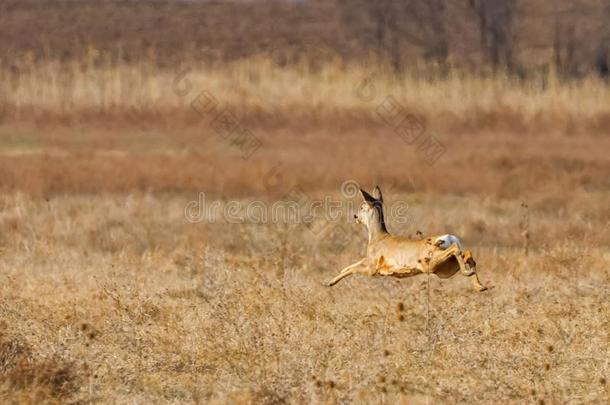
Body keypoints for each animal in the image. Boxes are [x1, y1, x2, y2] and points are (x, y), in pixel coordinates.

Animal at [326, 186, 486, 290]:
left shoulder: (372, 268)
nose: (355, 217)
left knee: (457, 249)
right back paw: (480, 286)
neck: (378, 238)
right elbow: (350, 266)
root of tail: (449, 238)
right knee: (468, 255)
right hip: (444, 269)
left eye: (362, 207)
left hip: (431, 263)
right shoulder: (368, 260)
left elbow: (352, 269)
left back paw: (471, 276)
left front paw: (329, 282)